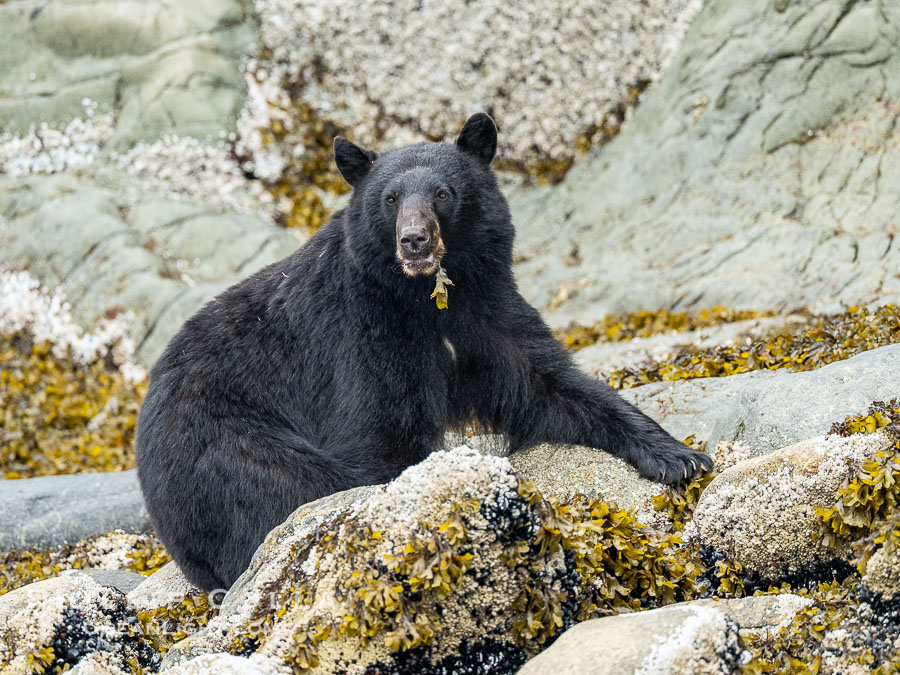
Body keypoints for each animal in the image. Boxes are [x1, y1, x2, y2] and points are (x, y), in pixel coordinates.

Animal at [136, 113, 712, 592]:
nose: (414, 240)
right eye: (390, 198)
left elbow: (547, 385)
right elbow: (382, 434)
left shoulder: (487, 308)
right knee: (286, 487)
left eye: (442, 192)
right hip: (226, 449)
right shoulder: (363, 334)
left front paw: (680, 456)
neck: (425, 298)